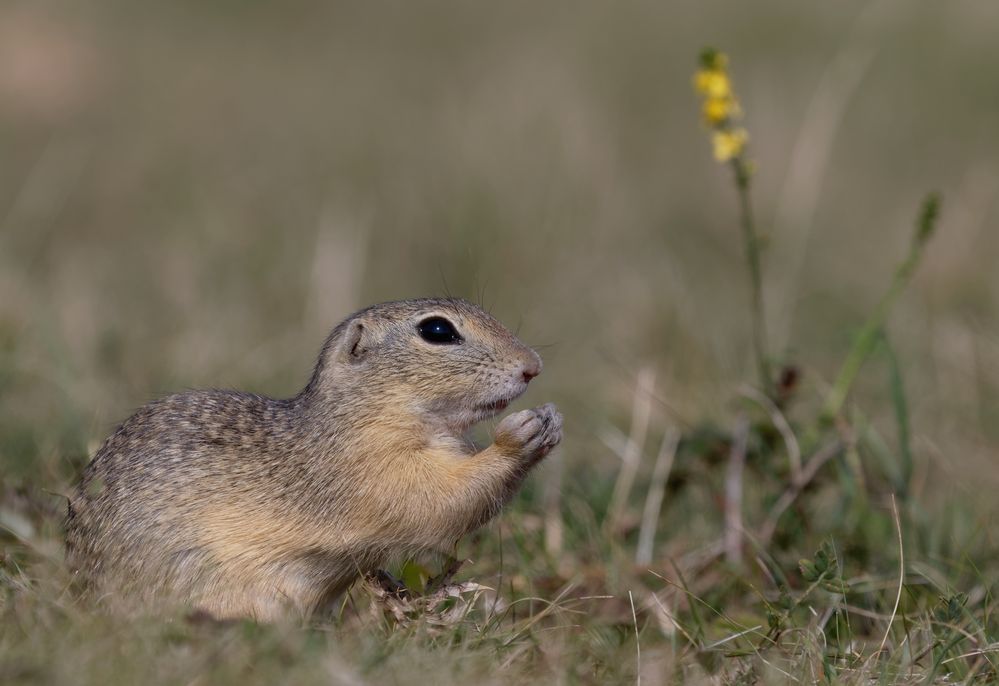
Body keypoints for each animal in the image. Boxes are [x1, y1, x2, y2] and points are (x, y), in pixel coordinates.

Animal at [64, 298, 564, 620]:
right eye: (437, 331)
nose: (533, 366)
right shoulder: (372, 473)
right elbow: (439, 502)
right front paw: (519, 436)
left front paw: (551, 420)